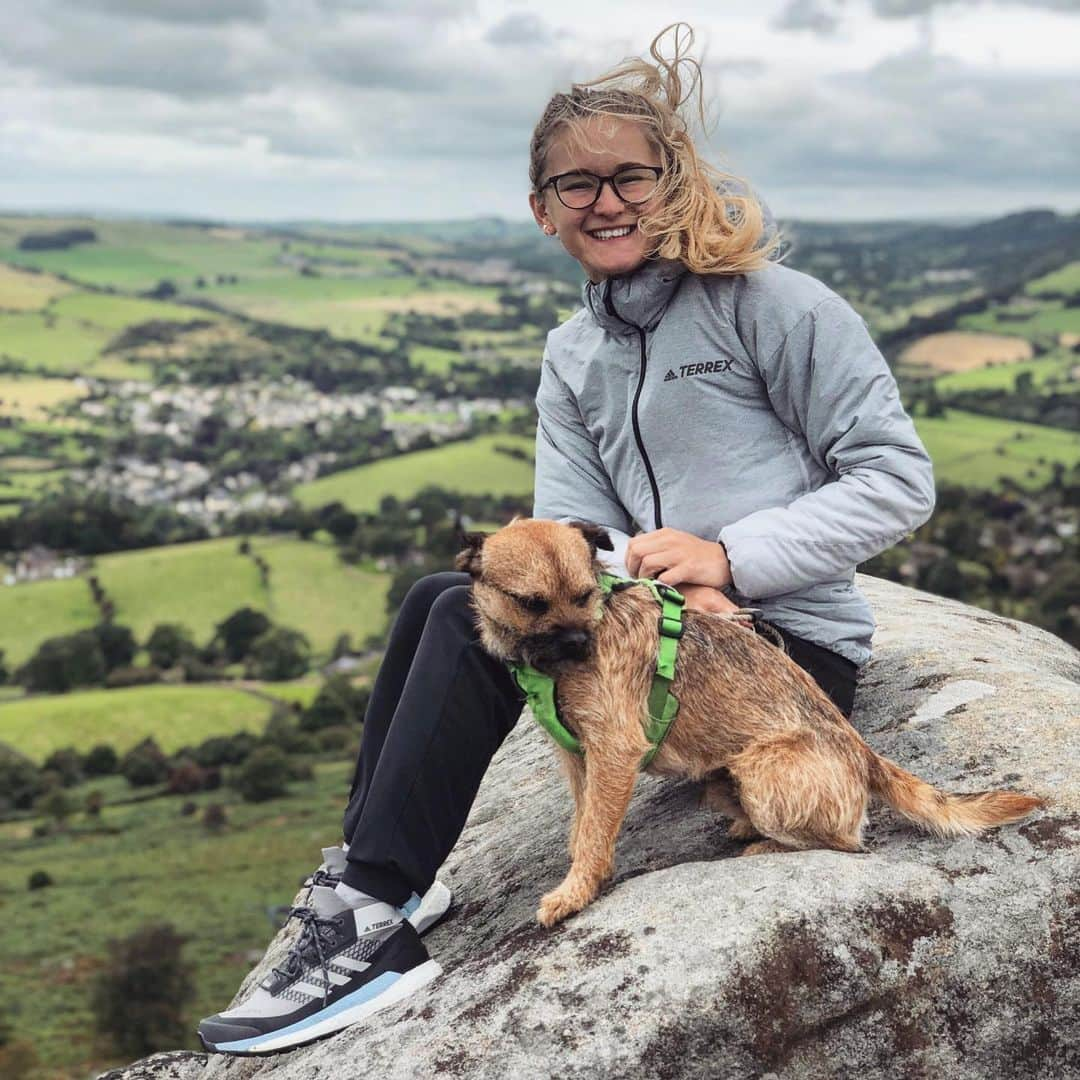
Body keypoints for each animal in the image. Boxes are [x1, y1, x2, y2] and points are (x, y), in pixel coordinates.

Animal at [457, 518, 1045, 924]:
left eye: (584, 595)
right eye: (531, 603)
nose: (580, 644)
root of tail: (863, 753)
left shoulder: (613, 751)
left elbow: (597, 829)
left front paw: (576, 890)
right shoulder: (578, 756)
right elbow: (584, 822)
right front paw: (583, 867)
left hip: (761, 771)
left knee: (846, 843)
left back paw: (764, 845)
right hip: (724, 780)